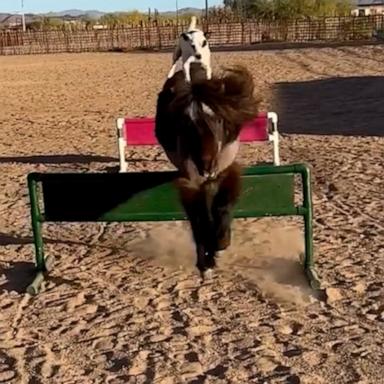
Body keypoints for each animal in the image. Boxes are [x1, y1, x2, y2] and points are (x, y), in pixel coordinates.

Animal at [154, 63, 260, 276]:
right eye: (186, 125)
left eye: (218, 120)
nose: (206, 166)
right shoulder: (190, 182)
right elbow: (199, 220)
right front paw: (206, 261)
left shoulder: (228, 170)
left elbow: (223, 205)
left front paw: (221, 241)